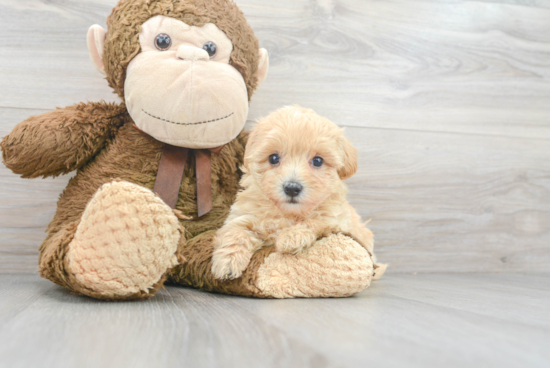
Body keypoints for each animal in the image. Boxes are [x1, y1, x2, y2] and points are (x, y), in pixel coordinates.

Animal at [213, 105, 386, 278]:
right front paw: (227, 261)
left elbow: (315, 220)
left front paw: (292, 237)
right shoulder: (243, 214)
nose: (292, 188)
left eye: (318, 161)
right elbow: (236, 231)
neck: (289, 213)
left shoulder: (337, 220)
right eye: (273, 158)